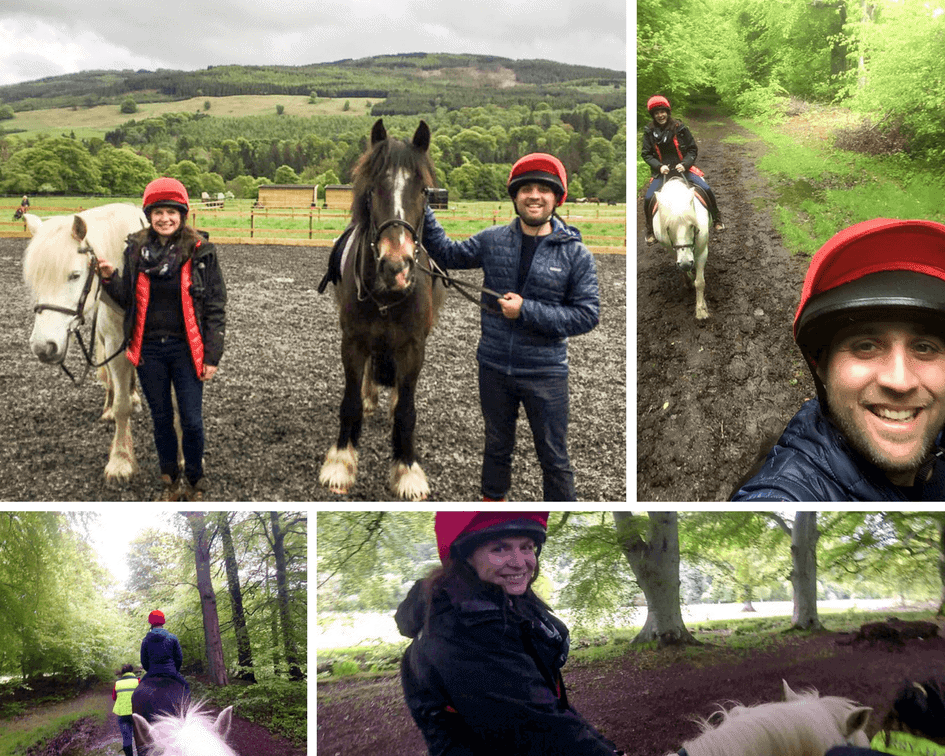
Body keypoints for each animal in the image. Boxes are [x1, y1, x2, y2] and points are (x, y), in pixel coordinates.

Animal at [22, 204, 148, 482]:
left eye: (75, 275)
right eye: (35, 279)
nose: (43, 346)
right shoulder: (114, 345)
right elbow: (121, 404)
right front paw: (121, 460)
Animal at [318, 119, 444, 502]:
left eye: (423, 191)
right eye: (373, 189)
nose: (396, 266)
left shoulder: (414, 346)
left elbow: (406, 409)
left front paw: (407, 469)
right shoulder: (353, 342)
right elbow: (349, 402)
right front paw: (341, 462)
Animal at [652, 176, 712, 318]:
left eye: (692, 226)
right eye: (668, 228)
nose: (685, 263)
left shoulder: (702, 251)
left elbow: (700, 282)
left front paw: (701, 310)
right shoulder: (672, 250)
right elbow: (683, 270)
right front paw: (688, 281)